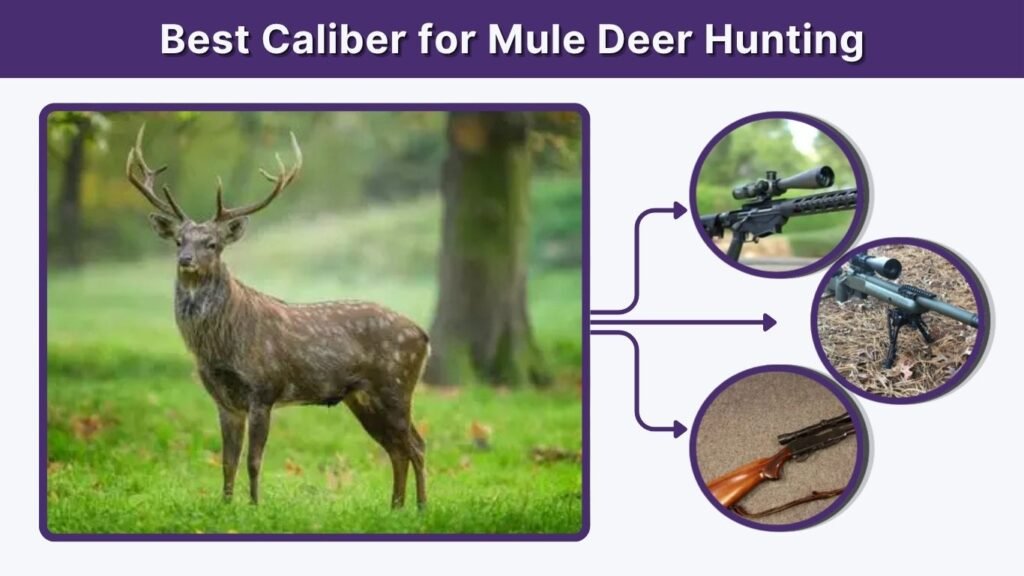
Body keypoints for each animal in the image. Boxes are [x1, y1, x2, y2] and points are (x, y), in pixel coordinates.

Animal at [125, 125, 428, 509]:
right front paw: (225, 506)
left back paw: (421, 508)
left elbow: (254, 460)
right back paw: (396, 508)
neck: (221, 345)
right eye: (179, 240)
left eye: (212, 244)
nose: (186, 261)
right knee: (396, 449)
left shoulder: (264, 389)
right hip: (362, 397)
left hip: (396, 384)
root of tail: (423, 335)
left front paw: (255, 507)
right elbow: (227, 460)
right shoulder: (224, 400)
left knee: (416, 445)